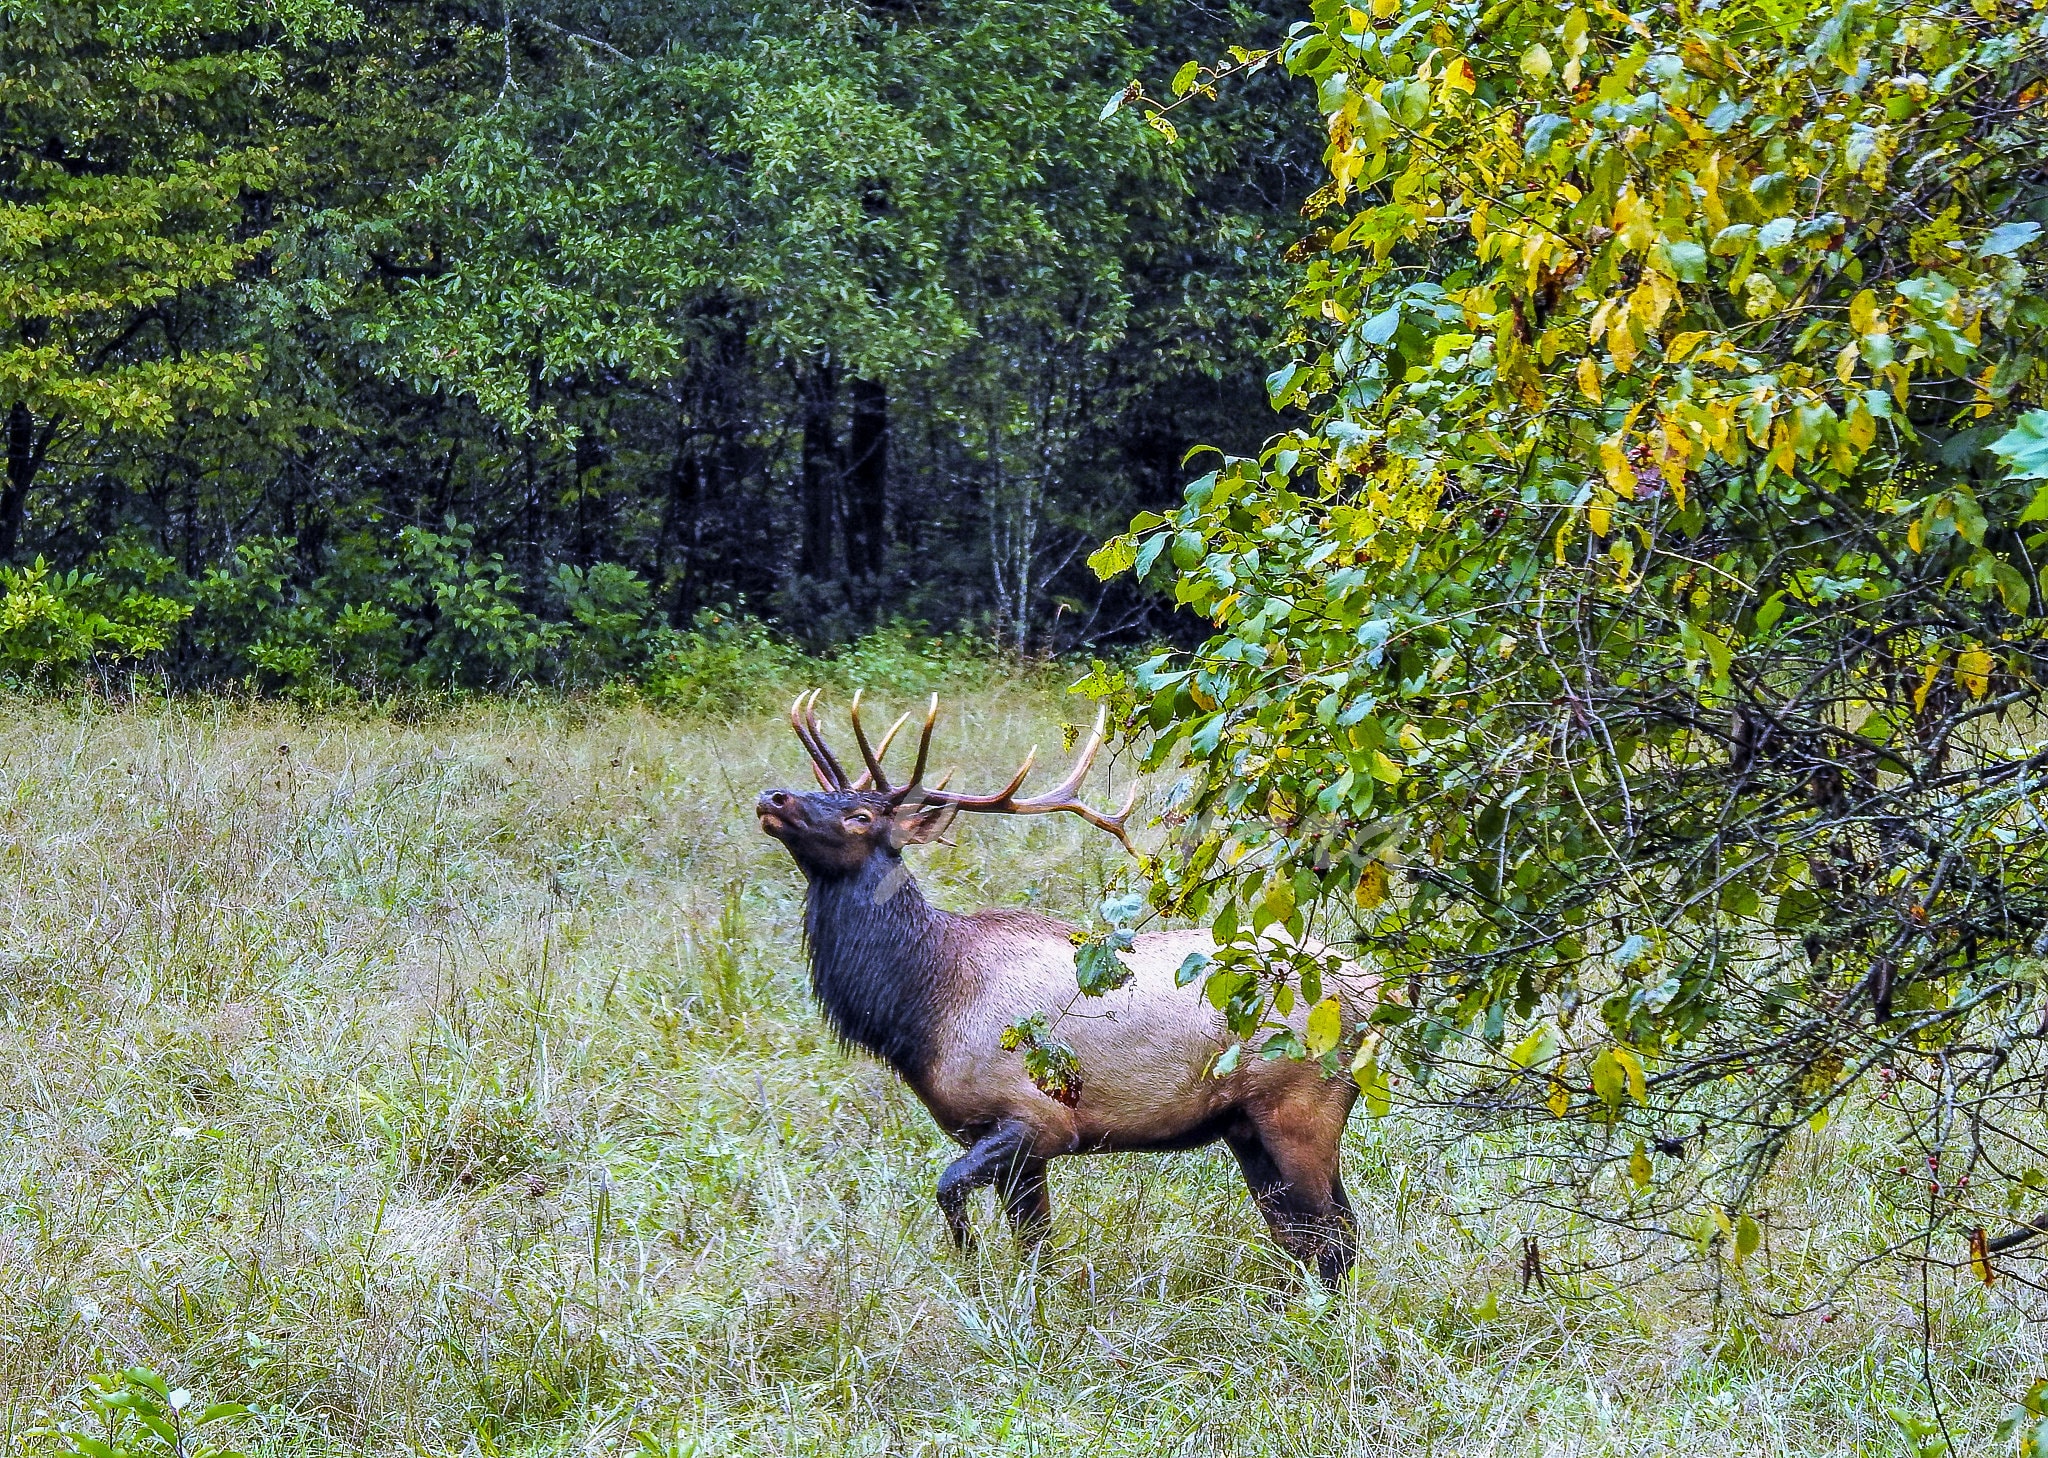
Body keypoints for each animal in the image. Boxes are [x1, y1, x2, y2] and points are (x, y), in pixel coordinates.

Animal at [754, 691, 1376, 1284]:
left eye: (860, 815)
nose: (773, 797)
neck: (923, 1013)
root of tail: (1374, 991)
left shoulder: (1037, 1118)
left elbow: (951, 1190)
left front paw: (970, 1264)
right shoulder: (1005, 1143)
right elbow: (1035, 1247)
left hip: (1301, 1101)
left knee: (1338, 1233)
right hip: (1245, 1124)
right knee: (1300, 1233)